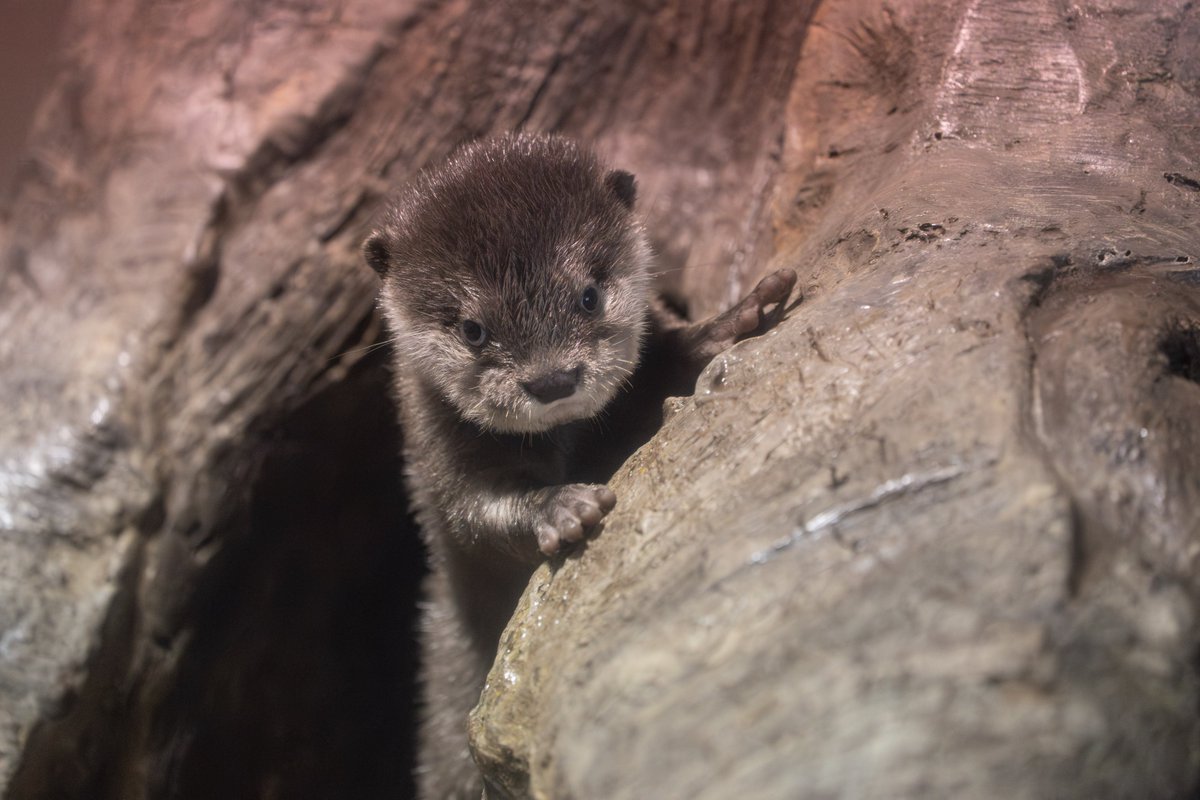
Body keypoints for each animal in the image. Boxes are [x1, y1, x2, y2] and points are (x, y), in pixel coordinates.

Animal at [363, 132, 796, 799]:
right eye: (473, 329)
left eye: (588, 295)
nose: (552, 380)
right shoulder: (439, 459)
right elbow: (475, 514)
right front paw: (563, 506)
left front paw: (737, 317)